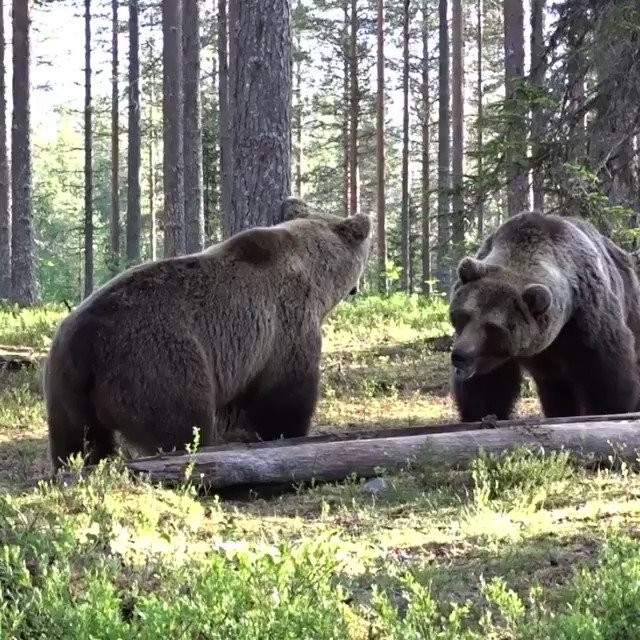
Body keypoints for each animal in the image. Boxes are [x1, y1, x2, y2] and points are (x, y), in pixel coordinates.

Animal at [43, 197, 371, 471]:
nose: (359, 288)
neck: (315, 276)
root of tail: (84, 343)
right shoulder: (286, 324)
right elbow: (287, 391)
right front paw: (288, 432)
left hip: (63, 384)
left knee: (76, 439)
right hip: (156, 364)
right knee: (181, 423)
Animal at [448, 210, 640, 422]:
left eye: (493, 327)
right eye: (463, 315)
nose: (460, 355)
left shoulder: (586, 321)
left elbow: (607, 375)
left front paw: (612, 410)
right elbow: (487, 385)